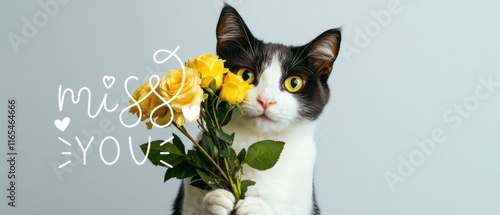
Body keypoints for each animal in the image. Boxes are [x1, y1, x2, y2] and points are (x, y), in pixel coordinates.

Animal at [172, 5, 340, 215]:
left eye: (294, 83)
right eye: (246, 74)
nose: (266, 100)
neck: (256, 140)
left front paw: (256, 206)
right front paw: (214, 199)